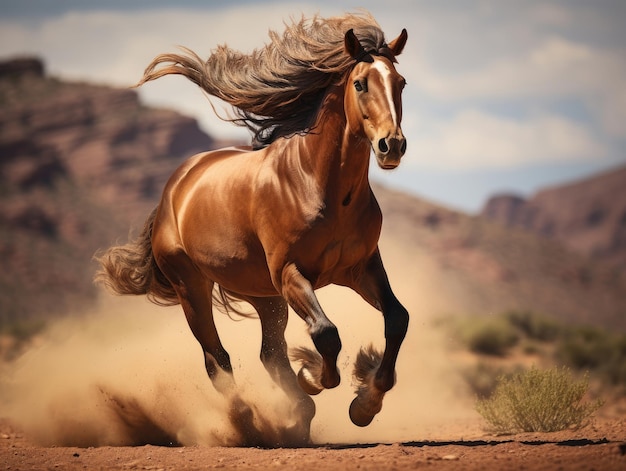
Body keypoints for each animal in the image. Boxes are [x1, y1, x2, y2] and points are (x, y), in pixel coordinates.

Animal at [95, 12, 410, 446]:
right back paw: (248, 423)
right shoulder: (291, 273)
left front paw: (365, 404)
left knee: (269, 354)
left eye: (401, 83)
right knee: (217, 360)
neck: (318, 184)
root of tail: (175, 187)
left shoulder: (360, 268)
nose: (391, 146)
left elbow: (397, 319)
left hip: (264, 296)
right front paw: (313, 375)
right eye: (361, 83)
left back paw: (294, 418)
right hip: (193, 286)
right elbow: (326, 332)